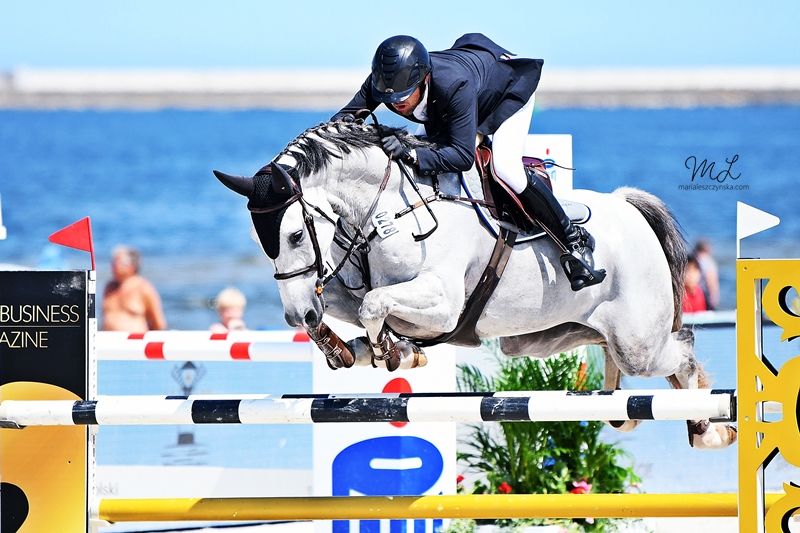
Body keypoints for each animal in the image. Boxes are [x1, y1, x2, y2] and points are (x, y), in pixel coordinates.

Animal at [214, 119, 736, 450]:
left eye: (295, 234)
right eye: (264, 243)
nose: (296, 314)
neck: (386, 208)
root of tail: (630, 206)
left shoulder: (442, 303)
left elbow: (374, 306)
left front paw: (392, 351)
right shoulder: (352, 286)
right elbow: (355, 306)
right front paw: (349, 348)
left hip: (638, 343)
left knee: (683, 352)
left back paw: (710, 426)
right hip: (557, 337)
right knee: (636, 365)